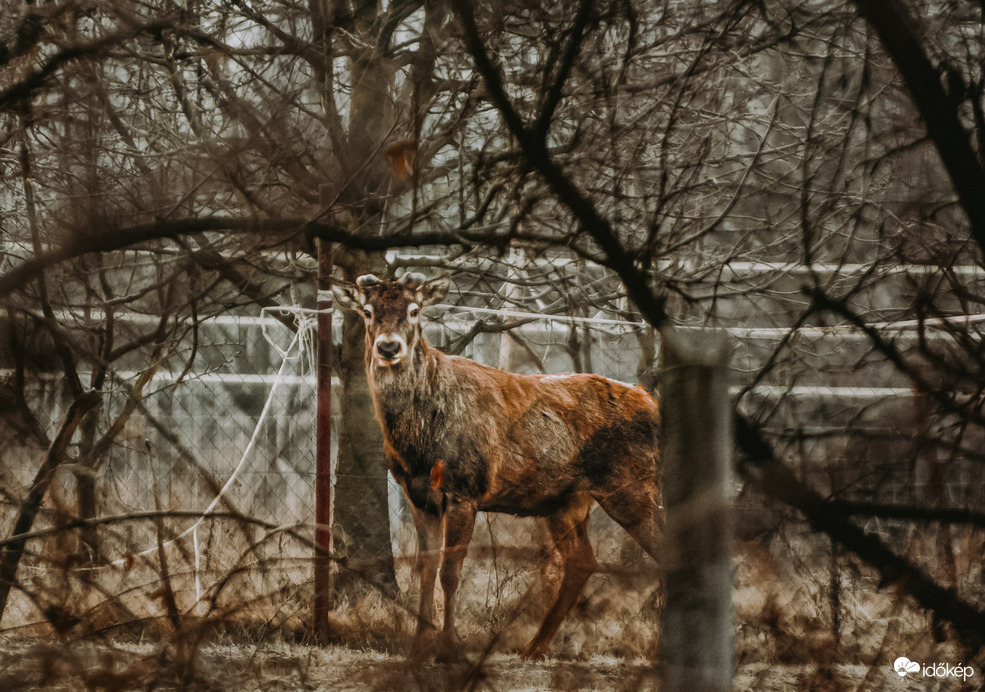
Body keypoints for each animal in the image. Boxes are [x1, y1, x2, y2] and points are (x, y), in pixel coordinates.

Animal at [330, 270, 660, 660]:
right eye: (367, 311)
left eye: (414, 310)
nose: (388, 348)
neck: (420, 441)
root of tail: (653, 404)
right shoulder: (419, 495)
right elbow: (425, 568)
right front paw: (418, 648)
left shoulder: (465, 487)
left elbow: (450, 570)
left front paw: (449, 648)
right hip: (564, 501)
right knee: (582, 560)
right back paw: (534, 646)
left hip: (632, 485)